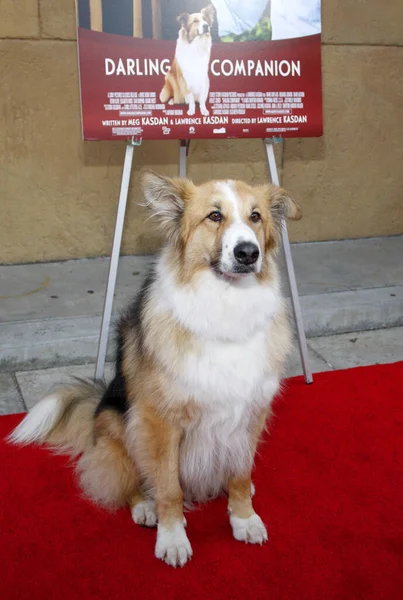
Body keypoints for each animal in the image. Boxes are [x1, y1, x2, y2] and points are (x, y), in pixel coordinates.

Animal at [8, 170, 304, 568]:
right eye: (214, 216)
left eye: (255, 217)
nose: (248, 253)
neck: (226, 306)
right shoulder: (160, 423)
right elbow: (169, 488)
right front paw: (173, 536)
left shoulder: (250, 413)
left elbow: (241, 475)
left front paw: (243, 518)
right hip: (120, 426)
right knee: (124, 477)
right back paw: (144, 506)